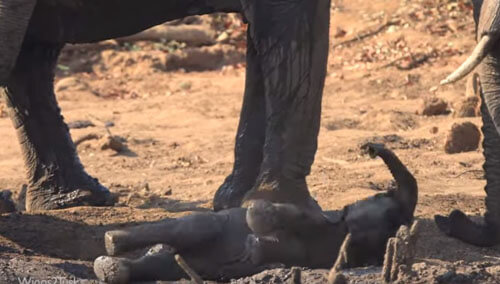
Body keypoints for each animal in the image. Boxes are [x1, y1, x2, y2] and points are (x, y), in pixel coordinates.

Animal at [94, 143, 418, 282]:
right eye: (381, 195)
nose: (370, 149)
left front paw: (257, 241)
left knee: (182, 247)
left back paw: (110, 261)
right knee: (191, 231)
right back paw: (110, 252)